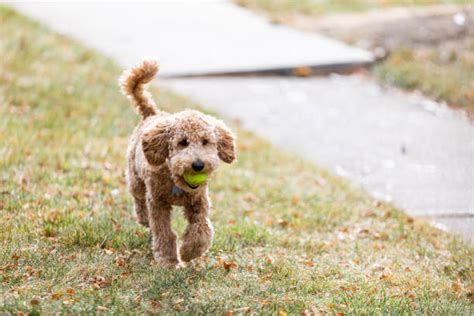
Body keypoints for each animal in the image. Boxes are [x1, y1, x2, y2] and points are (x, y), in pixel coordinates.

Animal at [119, 59, 236, 266]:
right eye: (182, 142)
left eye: (206, 141)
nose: (198, 165)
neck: (176, 182)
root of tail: (151, 114)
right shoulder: (157, 203)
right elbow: (164, 232)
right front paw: (168, 260)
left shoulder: (199, 202)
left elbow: (202, 228)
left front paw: (190, 252)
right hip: (135, 179)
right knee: (138, 199)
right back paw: (143, 218)